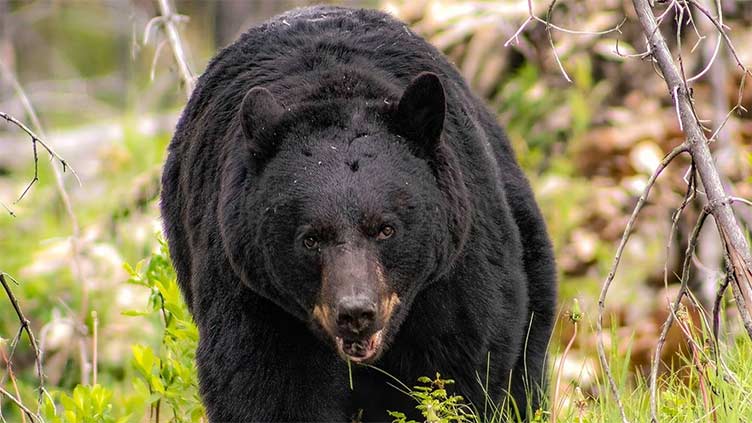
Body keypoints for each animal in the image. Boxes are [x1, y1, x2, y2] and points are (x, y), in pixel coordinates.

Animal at [160, 4, 560, 422]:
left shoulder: (456, 268)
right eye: (310, 239)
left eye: (385, 229)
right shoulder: (251, 286)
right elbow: (264, 384)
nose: (355, 313)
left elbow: (463, 363)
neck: (337, 88)